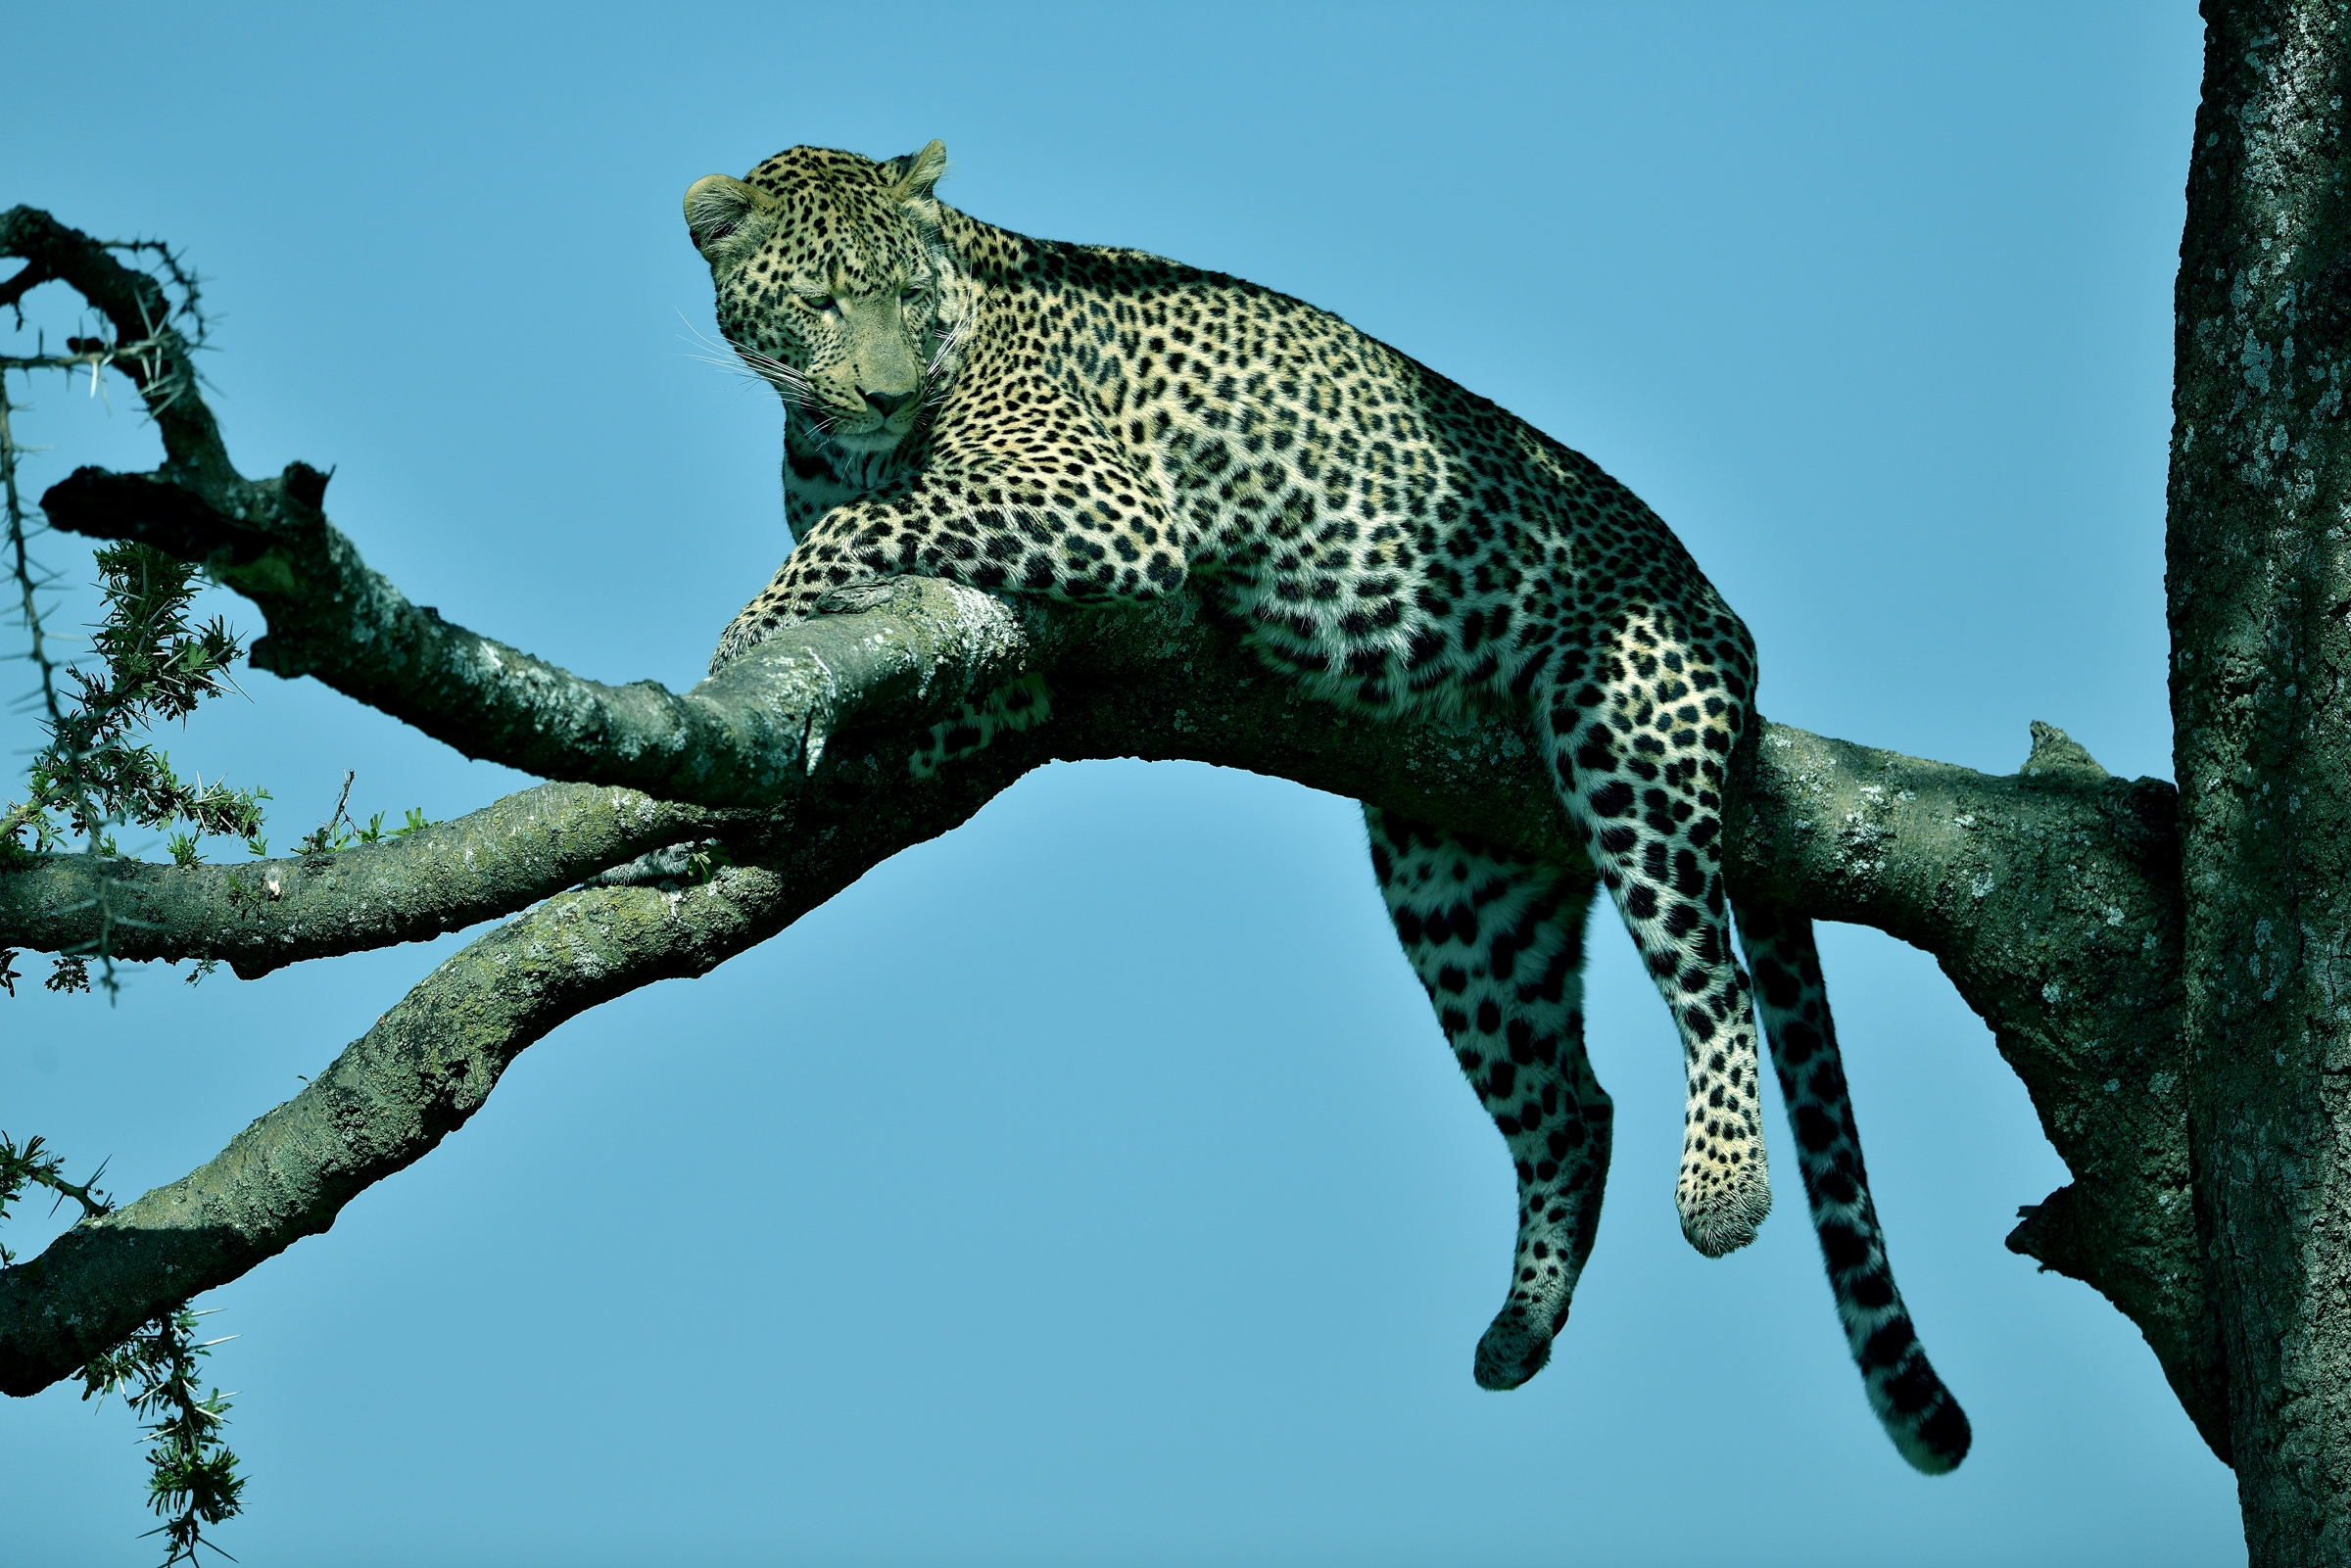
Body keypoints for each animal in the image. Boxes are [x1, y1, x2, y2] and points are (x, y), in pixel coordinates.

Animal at [682, 139, 1971, 1474]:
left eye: (909, 299)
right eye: (822, 301)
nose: (889, 394)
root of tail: (1733, 630)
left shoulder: (1101, 505)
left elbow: (862, 521)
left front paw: (740, 637)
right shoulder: (1017, 680)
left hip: (1624, 726)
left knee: (1714, 983)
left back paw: (1722, 1193)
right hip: (1459, 880)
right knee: (1572, 1104)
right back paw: (1521, 1325)